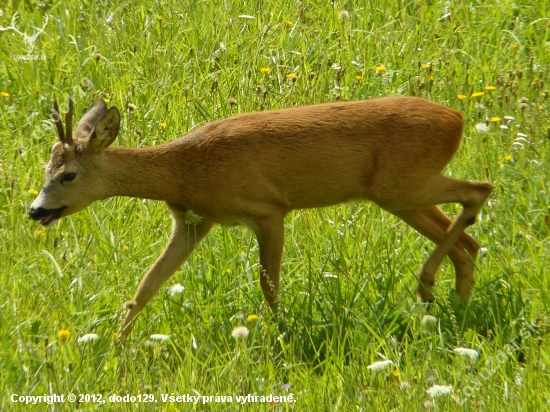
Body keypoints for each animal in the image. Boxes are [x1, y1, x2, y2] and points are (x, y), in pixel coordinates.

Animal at [29, 96, 496, 338]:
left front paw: (281, 336)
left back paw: (427, 284)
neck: (186, 169)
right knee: (468, 241)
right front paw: (117, 344)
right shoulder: (193, 222)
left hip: (403, 186)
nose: (35, 210)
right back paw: (452, 307)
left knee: (480, 191)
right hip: (402, 193)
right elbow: (146, 286)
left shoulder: (268, 210)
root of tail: (457, 117)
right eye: (46, 168)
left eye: (69, 174)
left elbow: (268, 285)